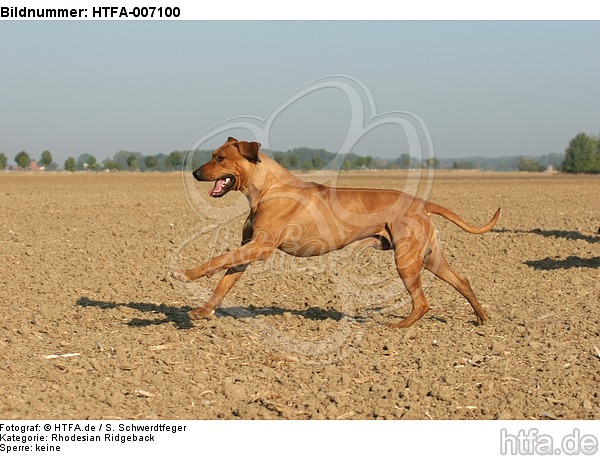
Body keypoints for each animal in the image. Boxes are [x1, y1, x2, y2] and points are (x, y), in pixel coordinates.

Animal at [171, 136, 500, 328]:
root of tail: (422, 202)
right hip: (430, 257)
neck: (267, 188)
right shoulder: (248, 249)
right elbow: (223, 283)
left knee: (422, 302)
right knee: (462, 281)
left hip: (407, 261)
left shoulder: (260, 248)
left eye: (220, 158)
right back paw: (483, 318)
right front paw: (202, 311)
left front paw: (185, 273)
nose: (195, 173)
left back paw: (398, 327)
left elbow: (217, 260)